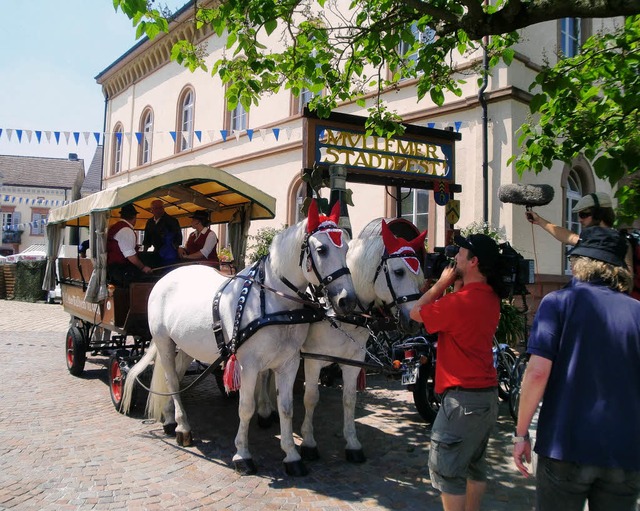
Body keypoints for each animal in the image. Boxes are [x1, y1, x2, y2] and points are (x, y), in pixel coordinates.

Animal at [120, 200, 358, 476]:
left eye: (347, 248)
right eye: (321, 249)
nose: (348, 300)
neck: (274, 303)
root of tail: (166, 277)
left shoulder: (288, 363)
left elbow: (287, 408)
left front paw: (292, 455)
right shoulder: (249, 365)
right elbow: (245, 408)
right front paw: (242, 455)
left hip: (187, 346)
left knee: (176, 380)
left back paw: (170, 420)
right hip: (164, 341)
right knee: (170, 379)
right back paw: (182, 427)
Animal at [298, 220, 428, 464]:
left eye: (420, 278)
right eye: (398, 272)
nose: (415, 322)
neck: (339, 314)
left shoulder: (352, 362)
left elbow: (349, 400)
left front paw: (352, 443)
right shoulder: (313, 359)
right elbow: (310, 398)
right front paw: (309, 443)